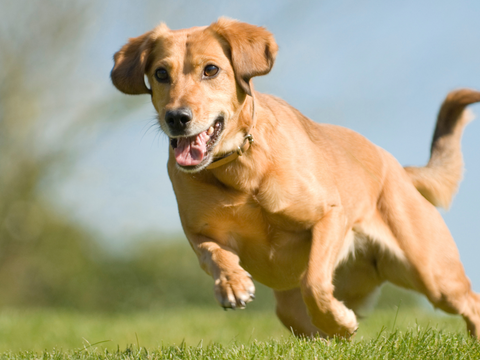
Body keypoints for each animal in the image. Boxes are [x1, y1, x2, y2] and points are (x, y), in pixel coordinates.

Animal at [111, 16, 480, 338]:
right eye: (161, 73)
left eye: (211, 69)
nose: (176, 117)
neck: (239, 171)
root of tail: (399, 169)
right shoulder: (201, 234)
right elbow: (216, 254)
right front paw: (233, 284)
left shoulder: (329, 217)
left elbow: (314, 280)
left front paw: (338, 319)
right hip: (292, 309)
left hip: (434, 275)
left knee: (471, 303)